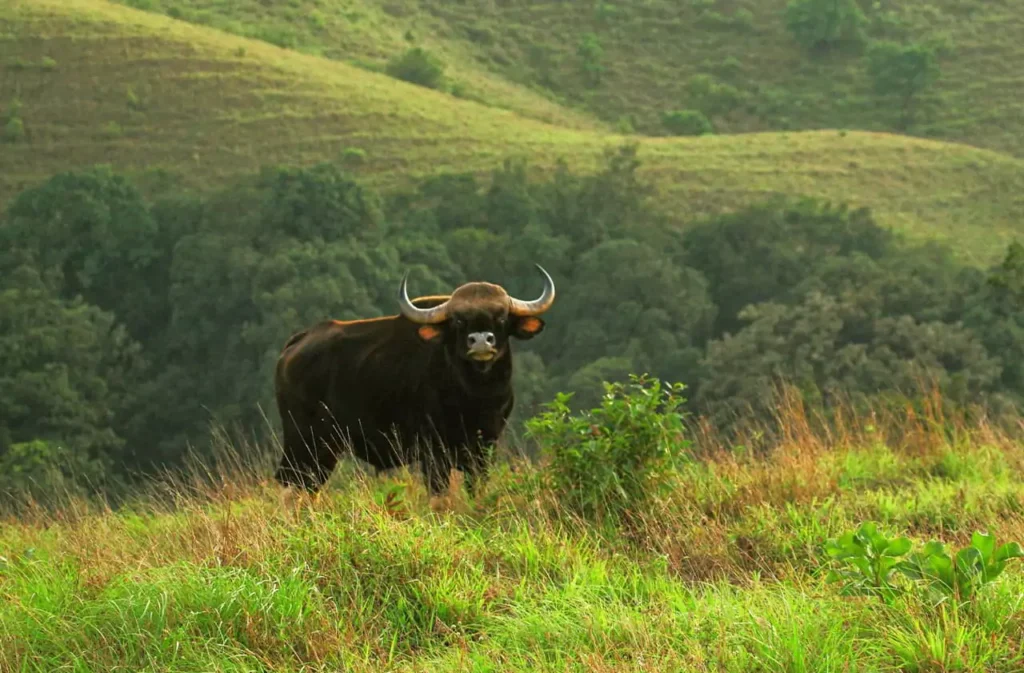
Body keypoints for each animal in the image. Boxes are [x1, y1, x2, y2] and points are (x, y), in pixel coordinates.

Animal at [272, 262, 557, 493]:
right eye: (458, 320)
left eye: (502, 316)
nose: (480, 341)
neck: (475, 396)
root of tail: (296, 344)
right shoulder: (434, 452)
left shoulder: (485, 448)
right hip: (304, 441)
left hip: (324, 448)